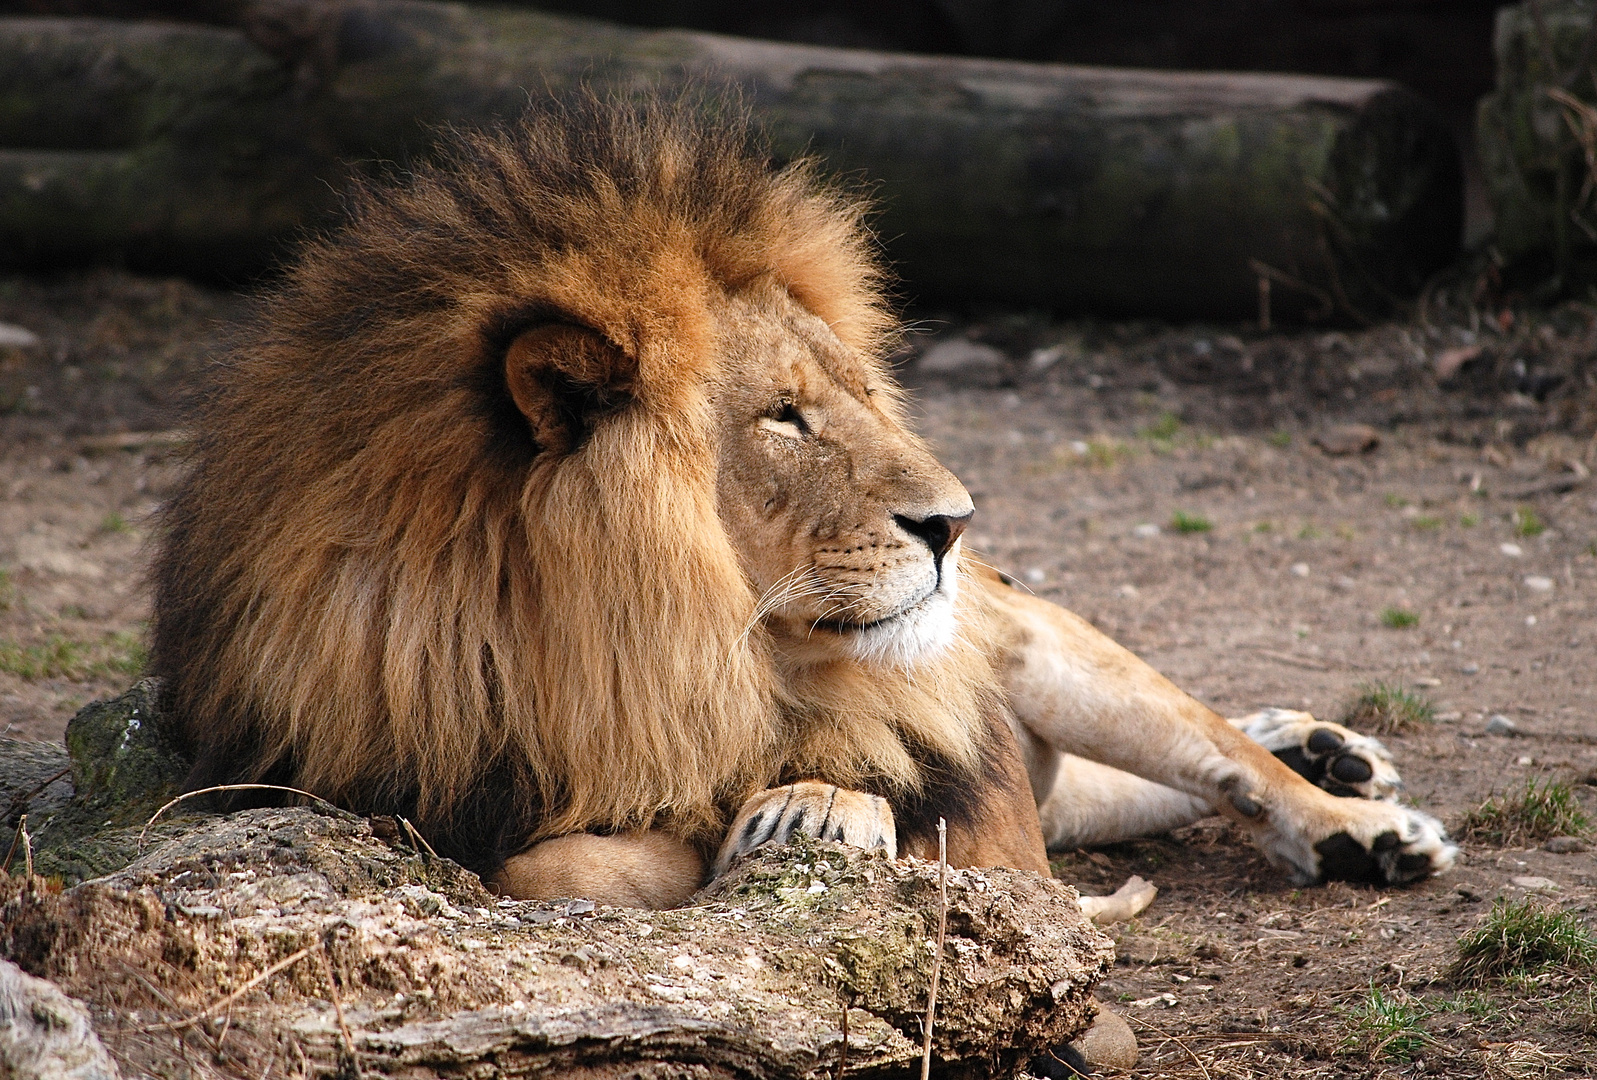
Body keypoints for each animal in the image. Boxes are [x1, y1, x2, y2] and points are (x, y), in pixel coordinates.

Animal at [152, 97, 1462, 913]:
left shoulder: (974, 805)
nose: (954, 523)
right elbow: (553, 868)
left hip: (1035, 645)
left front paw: (793, 818)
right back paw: (1325, 745)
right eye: (784, 416)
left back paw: (1346, 808)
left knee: (1209, 746)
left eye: (860, 395)